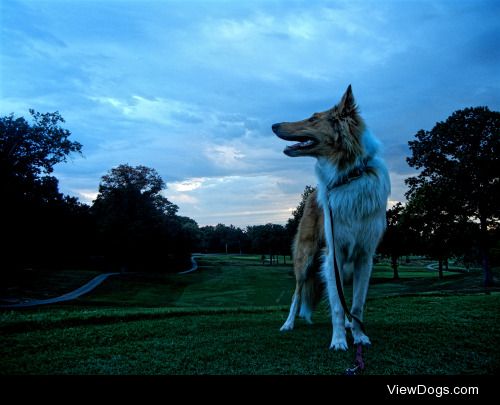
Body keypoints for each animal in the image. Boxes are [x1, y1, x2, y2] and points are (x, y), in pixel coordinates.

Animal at [274, 84, 390, 348]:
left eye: (313, 118)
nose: (274, 125)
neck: (350, 176)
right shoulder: (333, 253)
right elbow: (337, 304)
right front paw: (338, 341)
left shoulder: (364, 257)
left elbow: (356, 304)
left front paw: (359, 336)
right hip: (305, 258)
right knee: (297, 293)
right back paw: (288, 324)